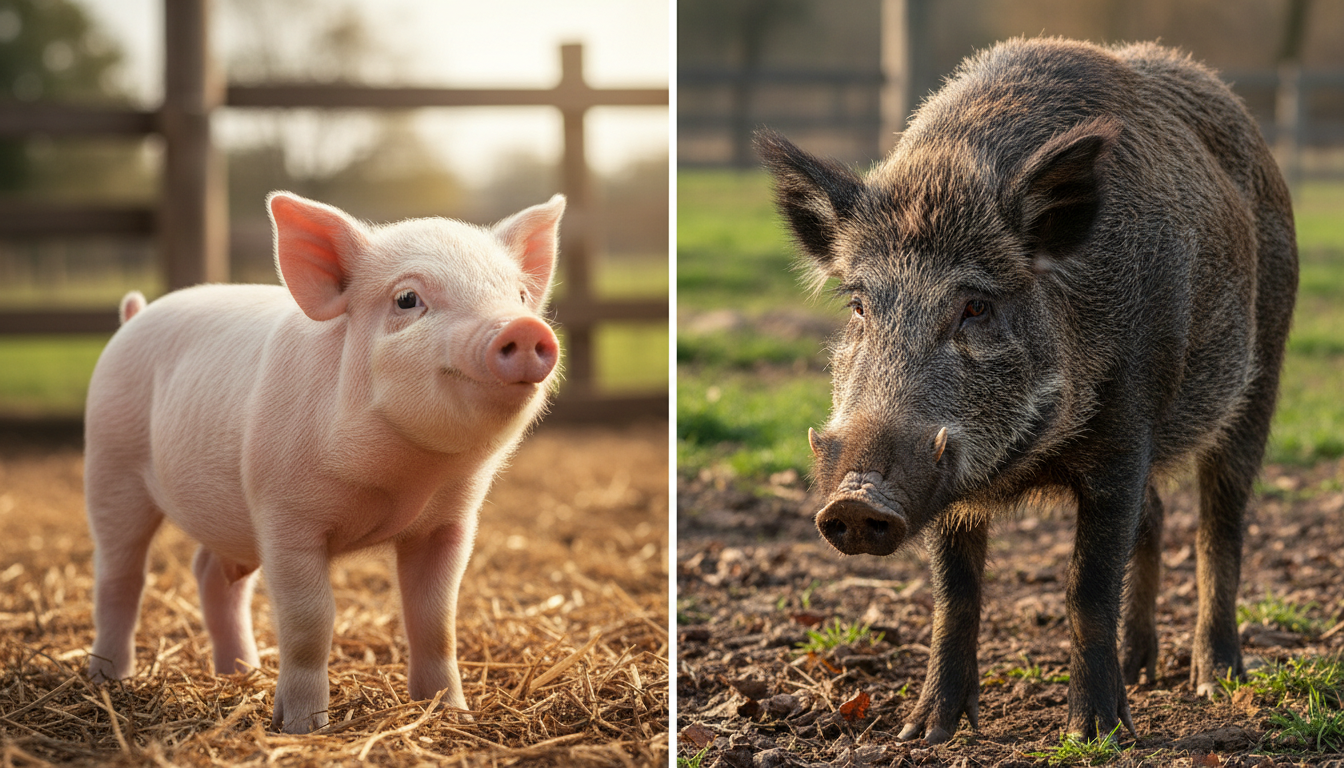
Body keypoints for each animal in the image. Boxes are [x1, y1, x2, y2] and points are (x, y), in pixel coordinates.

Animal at [83, 191, 565, 733]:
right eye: (407, 299)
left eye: (520, 295)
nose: (523, 327)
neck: (402, 479)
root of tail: (134, 316)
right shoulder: (285, 515)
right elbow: (310, 621)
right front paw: (304, 728)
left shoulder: (450, 523)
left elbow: (436, 619)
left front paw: (452, 713)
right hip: (110, 462)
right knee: (120, 575)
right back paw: (109, 679)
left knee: (211, 573)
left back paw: (240, 673)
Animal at [757, 38, 1297, 742]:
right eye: (859, 306)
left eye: (976, 307)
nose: (854, 499)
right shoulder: (949, 482)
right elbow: (955, 592)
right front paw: (925, 732)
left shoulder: (1126, 428)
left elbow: (1087, 586)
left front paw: (1095, 734)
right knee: (1153, 519)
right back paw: (1141, 669)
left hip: (1263, 370)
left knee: (1220, 525)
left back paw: (1216, 682)